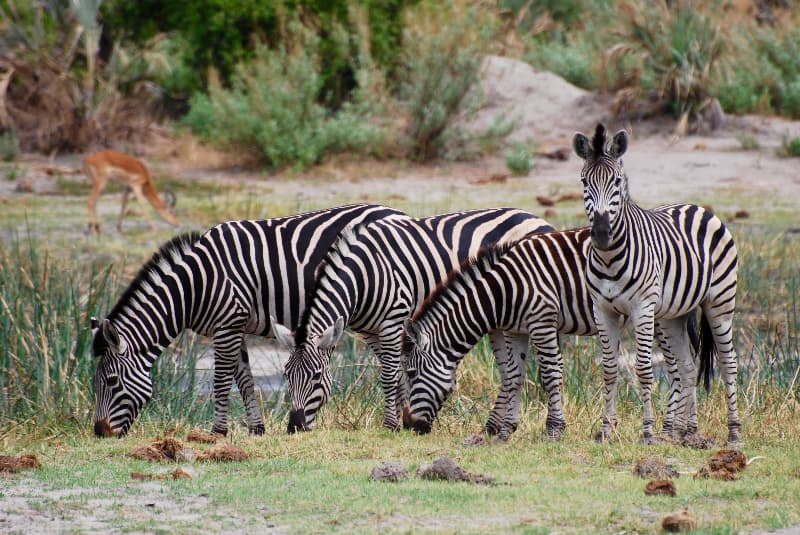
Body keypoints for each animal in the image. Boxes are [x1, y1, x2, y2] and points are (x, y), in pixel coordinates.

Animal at [91, 203, 406, 437]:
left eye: (111, 381)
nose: (99, 432)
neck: (196, 285)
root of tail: (396, 212)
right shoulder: (233, 326)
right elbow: (244, 379)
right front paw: (256, 428)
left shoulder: (227, 324)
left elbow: (220, 380)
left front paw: (217, 432)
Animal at [272, 208, 553, 433]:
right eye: (286, 375)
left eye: (317, 376)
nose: (294, 427)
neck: (365, 274)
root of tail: (537, 218)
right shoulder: (371, 332)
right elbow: (397, 374)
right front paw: (401, 420)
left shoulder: (393, 321)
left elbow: (389, 375)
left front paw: (390, 425)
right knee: (509, 370)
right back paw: (493, 427)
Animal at [401, 227, 707, 441]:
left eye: (412, 373)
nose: (408, 425)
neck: (503, 291)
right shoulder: (517, 330)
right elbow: (515, 376)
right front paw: (506, 429)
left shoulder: (542, 321)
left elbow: (550, 374)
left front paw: (554, 429)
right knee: (686, 366)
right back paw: (684, 430)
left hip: (657, 315)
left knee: (676, 370)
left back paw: (670, 430)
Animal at [573, 123, 740, 445]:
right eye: (585, 181)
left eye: (616, 181)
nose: (600, 233)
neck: (610, 257)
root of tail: (696, 206)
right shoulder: (602, 309)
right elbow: (609, 368)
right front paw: (605, 430)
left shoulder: (641, 308)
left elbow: (643, 369)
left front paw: (647, 432)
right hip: (674, 315)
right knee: (687, 367)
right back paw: (689, 433)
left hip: (720, 302)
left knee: (728, 363)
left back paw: (734, 432)